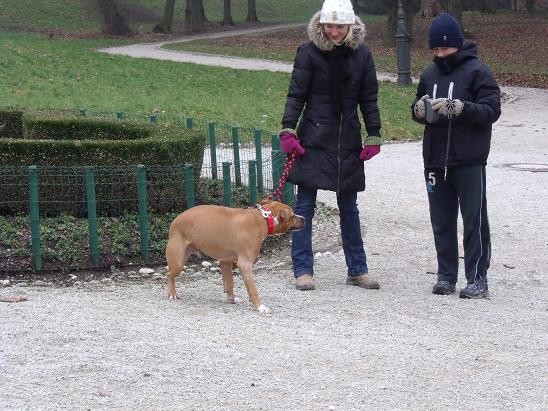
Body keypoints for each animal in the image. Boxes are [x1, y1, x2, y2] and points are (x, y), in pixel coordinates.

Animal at [165, 200, 306, 316]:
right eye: (293, 215)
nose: (304, 218)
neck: (263, 218)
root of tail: (174, 221)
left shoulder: (226, 262)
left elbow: (229, 284)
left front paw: (231, 299)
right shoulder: (245, 265)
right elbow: (252, 290)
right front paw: (260, 307)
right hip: (178, 263)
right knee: (169, 275)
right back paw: (172, 294)